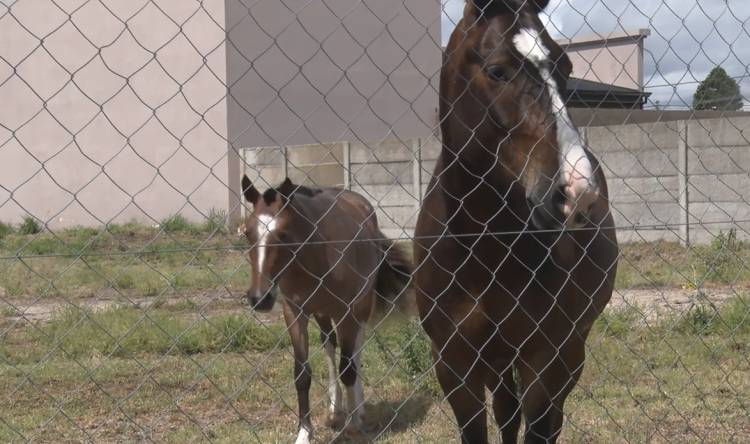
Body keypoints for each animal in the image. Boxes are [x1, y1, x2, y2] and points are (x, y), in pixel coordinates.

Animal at [241, 175, 414, 442]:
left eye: (283, 234)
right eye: (248, 233)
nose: (260, 298)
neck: (315, 255)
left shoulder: (347, 311)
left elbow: (348, 369)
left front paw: (353, 425)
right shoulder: (295, 312)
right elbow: (302, 374)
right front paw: (304, 433)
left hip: (359, 308)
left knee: (355, 352)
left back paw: (357, 409)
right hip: (323, 313)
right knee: (330, 344)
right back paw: (335, 409)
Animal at [414, 1, 620, 442]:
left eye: (565, 67)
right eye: (497, 71)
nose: (578, 192)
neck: (485, 248)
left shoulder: (545, 356)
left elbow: (540, 425)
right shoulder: (454, 363)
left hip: (569, 352)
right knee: (507, 411)